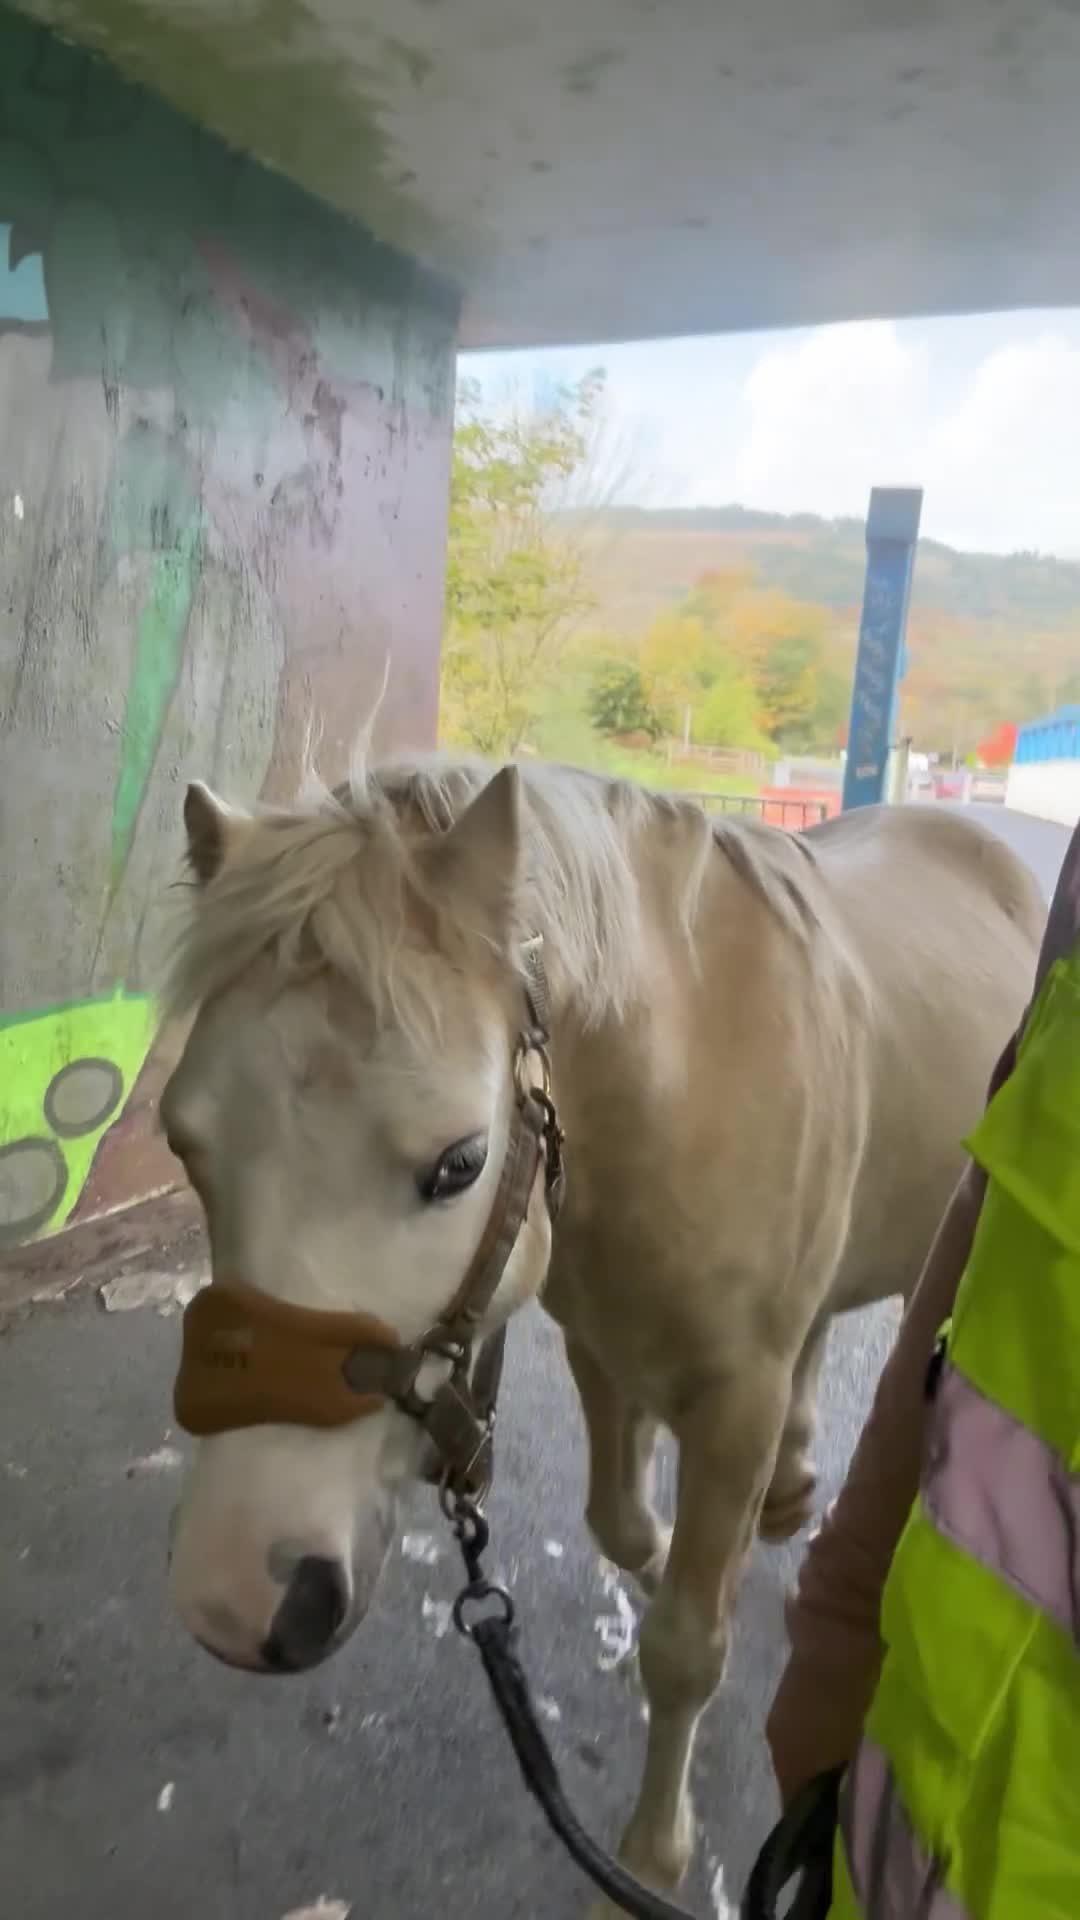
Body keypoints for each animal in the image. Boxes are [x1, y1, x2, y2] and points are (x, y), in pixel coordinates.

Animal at [162, 755, 1043, 1912]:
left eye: (460, 1161)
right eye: (184, 1144)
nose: (234, 1596)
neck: (689, 1074)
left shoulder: (736, 1398)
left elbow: (687, 1646)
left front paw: (649, 1858)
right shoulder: (600, 1345)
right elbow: (622, 1528)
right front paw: (663, 1558)